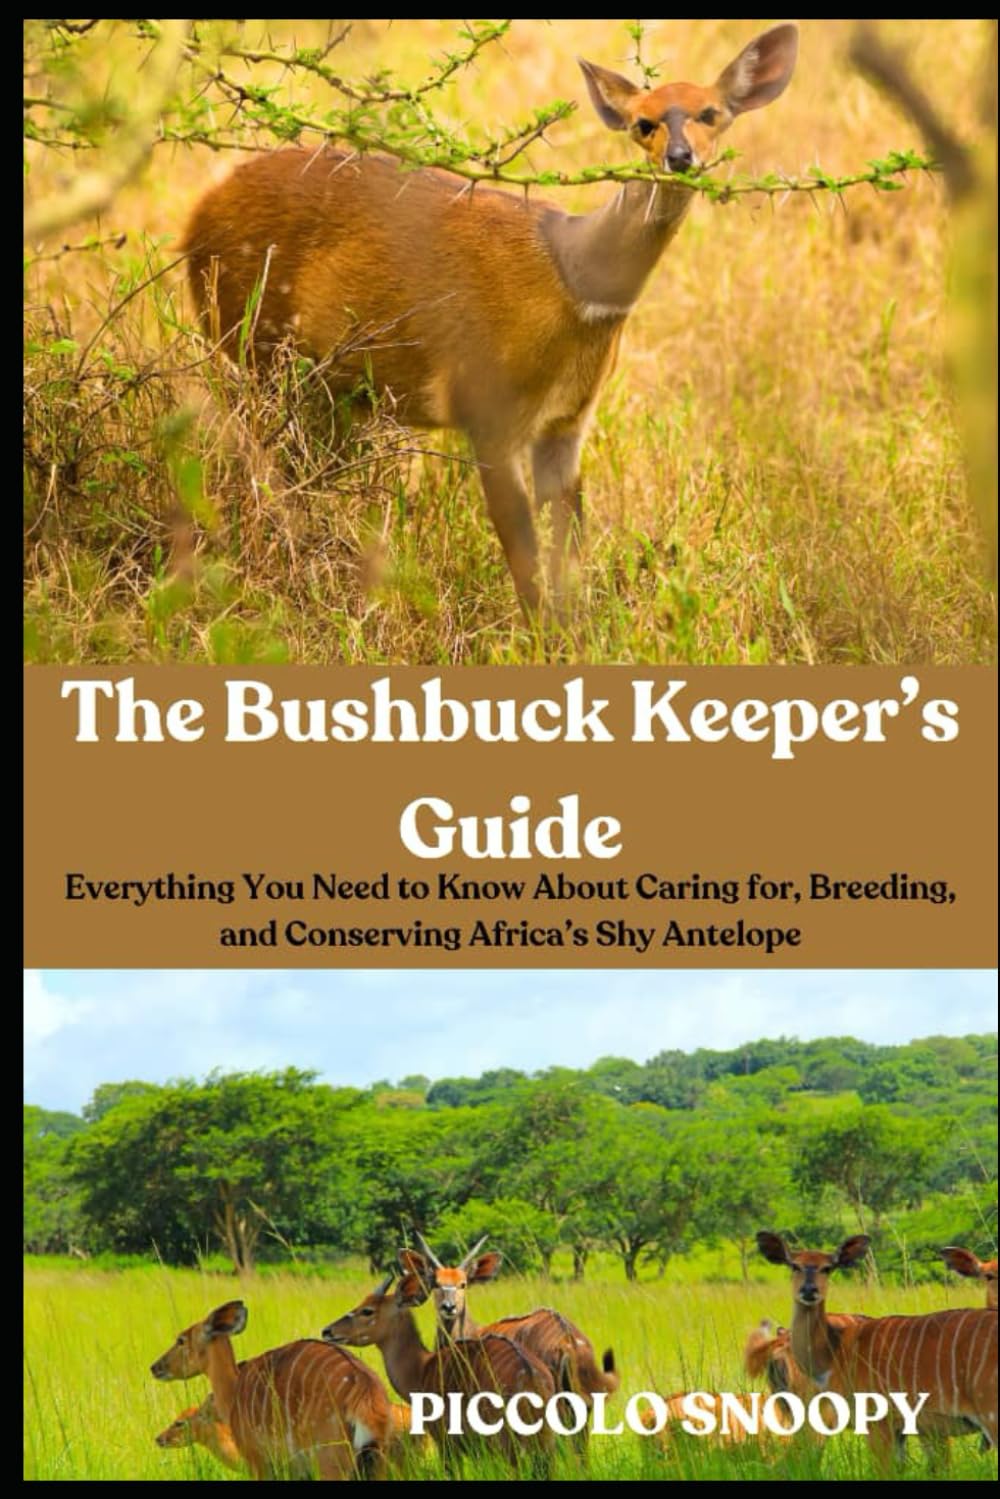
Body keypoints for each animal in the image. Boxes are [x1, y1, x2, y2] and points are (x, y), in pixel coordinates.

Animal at [150, 1299, 393, 1479]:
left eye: (181, 1340)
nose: (155, 1367)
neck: (233, 1392)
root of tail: (367, 1390)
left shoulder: (258, 1461)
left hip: (330, 1460)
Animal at [184, 24, 799, 613]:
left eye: (710, 113)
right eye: (642, 123)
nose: (680, 157)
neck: (573, 280)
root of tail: (194, 219)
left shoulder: (566, 424)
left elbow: (569, 560)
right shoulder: (488, 410)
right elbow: (526, 562)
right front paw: (539, 637)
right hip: (257, 355)